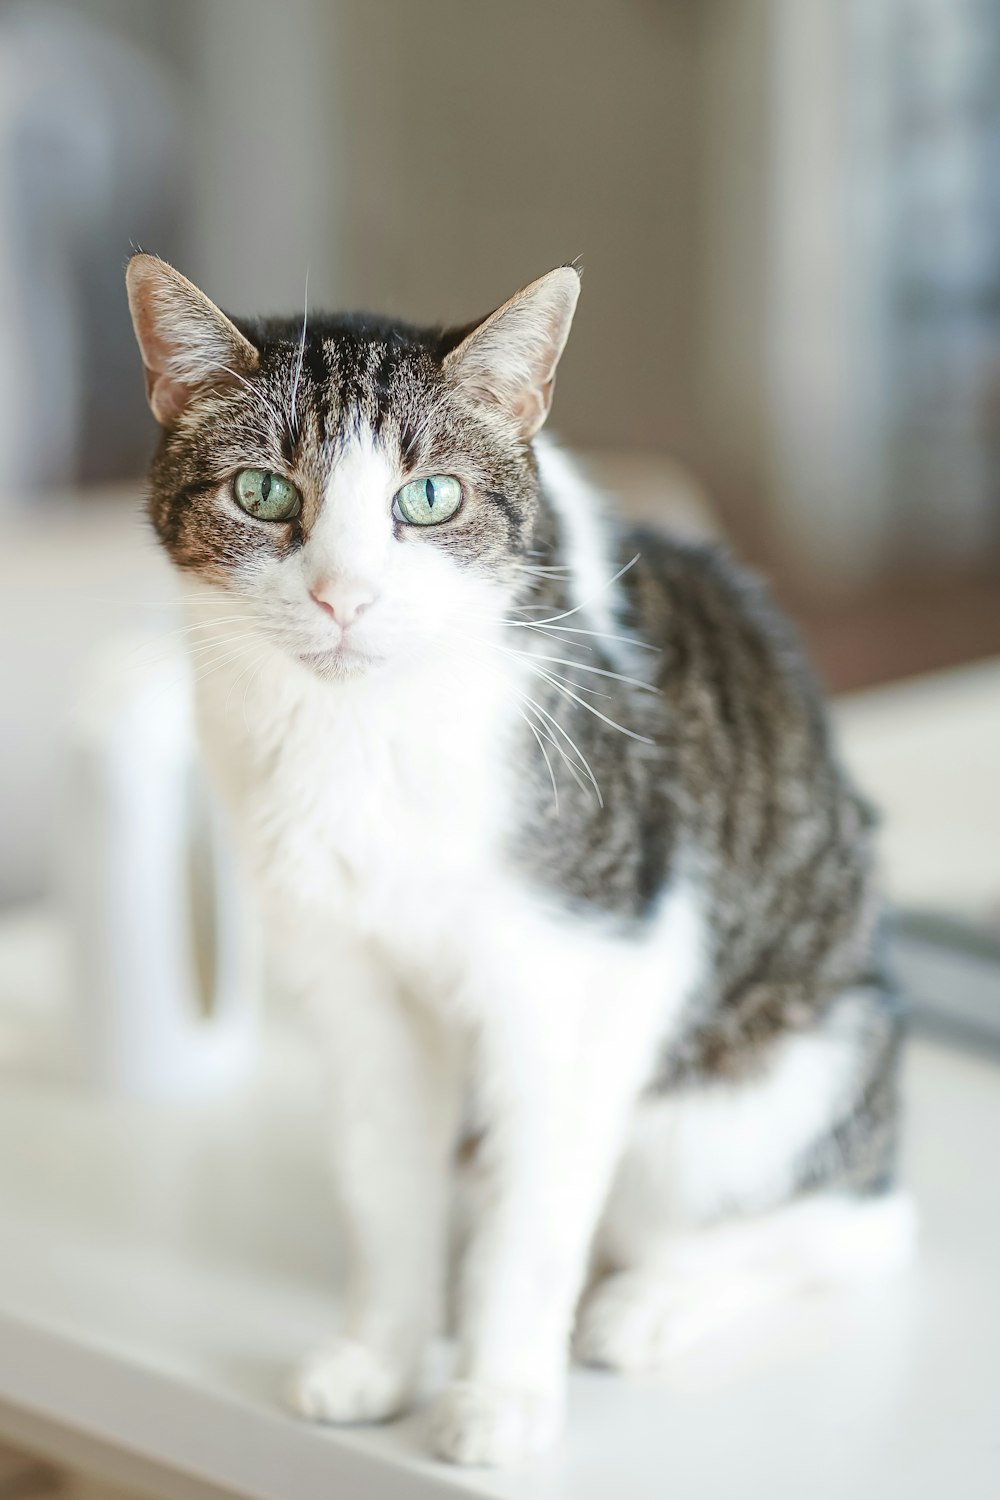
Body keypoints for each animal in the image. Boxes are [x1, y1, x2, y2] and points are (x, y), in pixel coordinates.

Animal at [125, 258, 917, 1464]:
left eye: (429, 500)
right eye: (262, 493)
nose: (343, 597)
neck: (362, 739)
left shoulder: (584, 972)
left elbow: (534, 1216)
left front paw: (498, 1392)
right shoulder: (353, 983)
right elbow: (383, 1187)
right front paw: (384, 1356)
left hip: (763, 1089)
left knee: (847, 1226)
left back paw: (651, 1300)